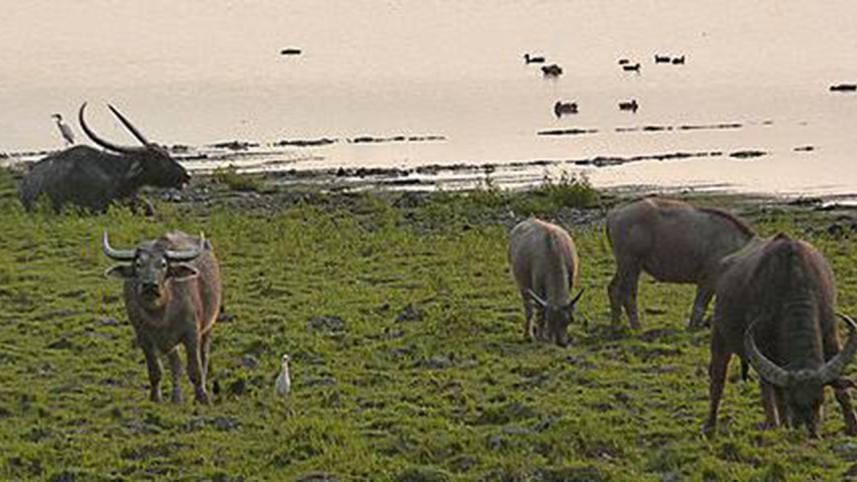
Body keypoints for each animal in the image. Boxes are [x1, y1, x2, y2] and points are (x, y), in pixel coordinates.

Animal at [103, 231, 222, 405]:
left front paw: (202, 398)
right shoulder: (144, 338)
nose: (150, 285)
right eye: (138, 264)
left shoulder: (192, 334)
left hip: (207, 327)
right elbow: (156, 370)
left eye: (164, 264)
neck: (161, 314)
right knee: (176, 365)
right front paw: (155, 398)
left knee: (204, 356)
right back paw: (176, 398)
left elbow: (195, 369)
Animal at [508, 218, 584, 346]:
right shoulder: (537, 287)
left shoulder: (570, 282)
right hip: (522, 285)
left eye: (569, 320)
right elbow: (540, 312)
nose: (560, 342)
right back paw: (528, 335)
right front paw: (541, 336)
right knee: (528, 309)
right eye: (550, 321)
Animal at [606, 197, 755, 329]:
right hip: (631, 265)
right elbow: (699, 306)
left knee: (613, 289)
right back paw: (637, 327)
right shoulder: (708, 280)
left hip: (624, 266)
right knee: (628, 295)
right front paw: (692, 329)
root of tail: (616, 212)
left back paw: (615, 326)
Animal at [704, 234, 857, 437]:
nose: (809, 432)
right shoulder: (764, 346)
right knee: (718, 380)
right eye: (793, 402)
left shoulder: (831, 337)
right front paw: (783, 423)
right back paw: (711, 426)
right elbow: (777, 395)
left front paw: (852, 426)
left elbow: (842, 391)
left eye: (820, 400)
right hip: (720, 337)